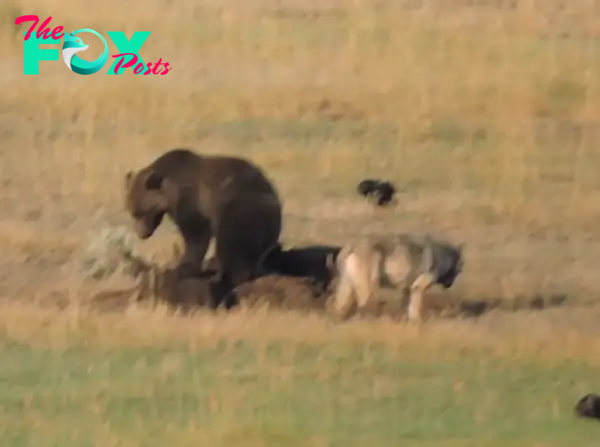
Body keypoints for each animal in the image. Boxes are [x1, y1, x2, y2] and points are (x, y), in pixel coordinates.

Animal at [124, 149, 284, 310]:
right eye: (131, 211)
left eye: (140, 212)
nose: (142, 234)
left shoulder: (191, 200)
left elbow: (196, 234)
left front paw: (183, 268)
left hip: (242, 207)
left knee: (231, 244)